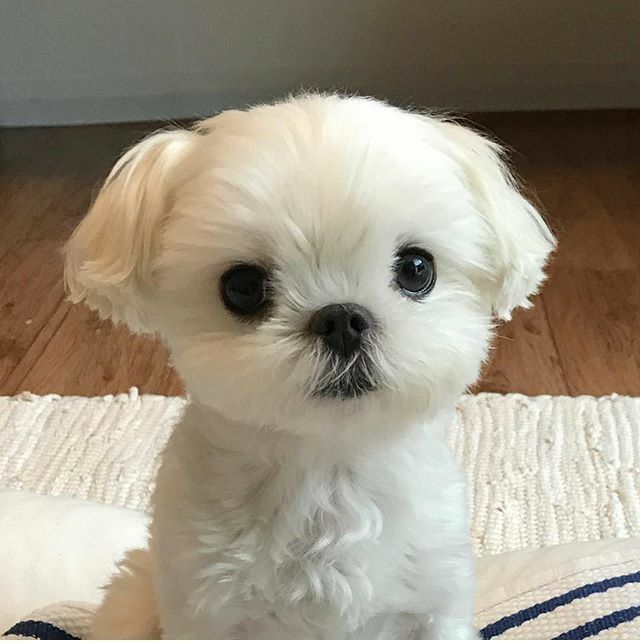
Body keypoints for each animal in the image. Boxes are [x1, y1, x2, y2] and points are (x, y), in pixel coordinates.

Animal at [63, 92, 556, 636]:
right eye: (242, 287)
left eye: (416, 268)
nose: (342, 319)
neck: (327, 473)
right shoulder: (204, 608)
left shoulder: (434, 603)